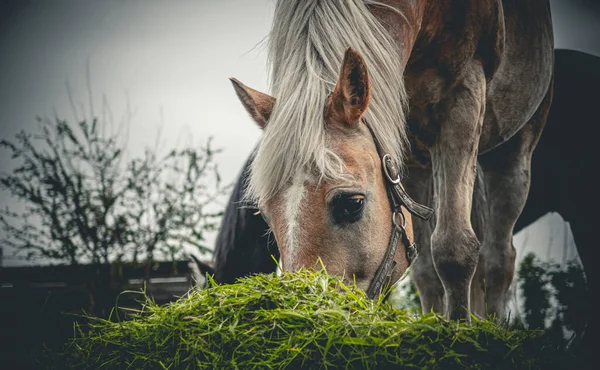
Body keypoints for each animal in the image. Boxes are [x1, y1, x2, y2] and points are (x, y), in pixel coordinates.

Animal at [223, 0, 552, 320]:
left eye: (352, 203)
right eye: (266, 215)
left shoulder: (463, 94)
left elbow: (455, 249)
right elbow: (428, 267)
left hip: (513, 152)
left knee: (498, 260)